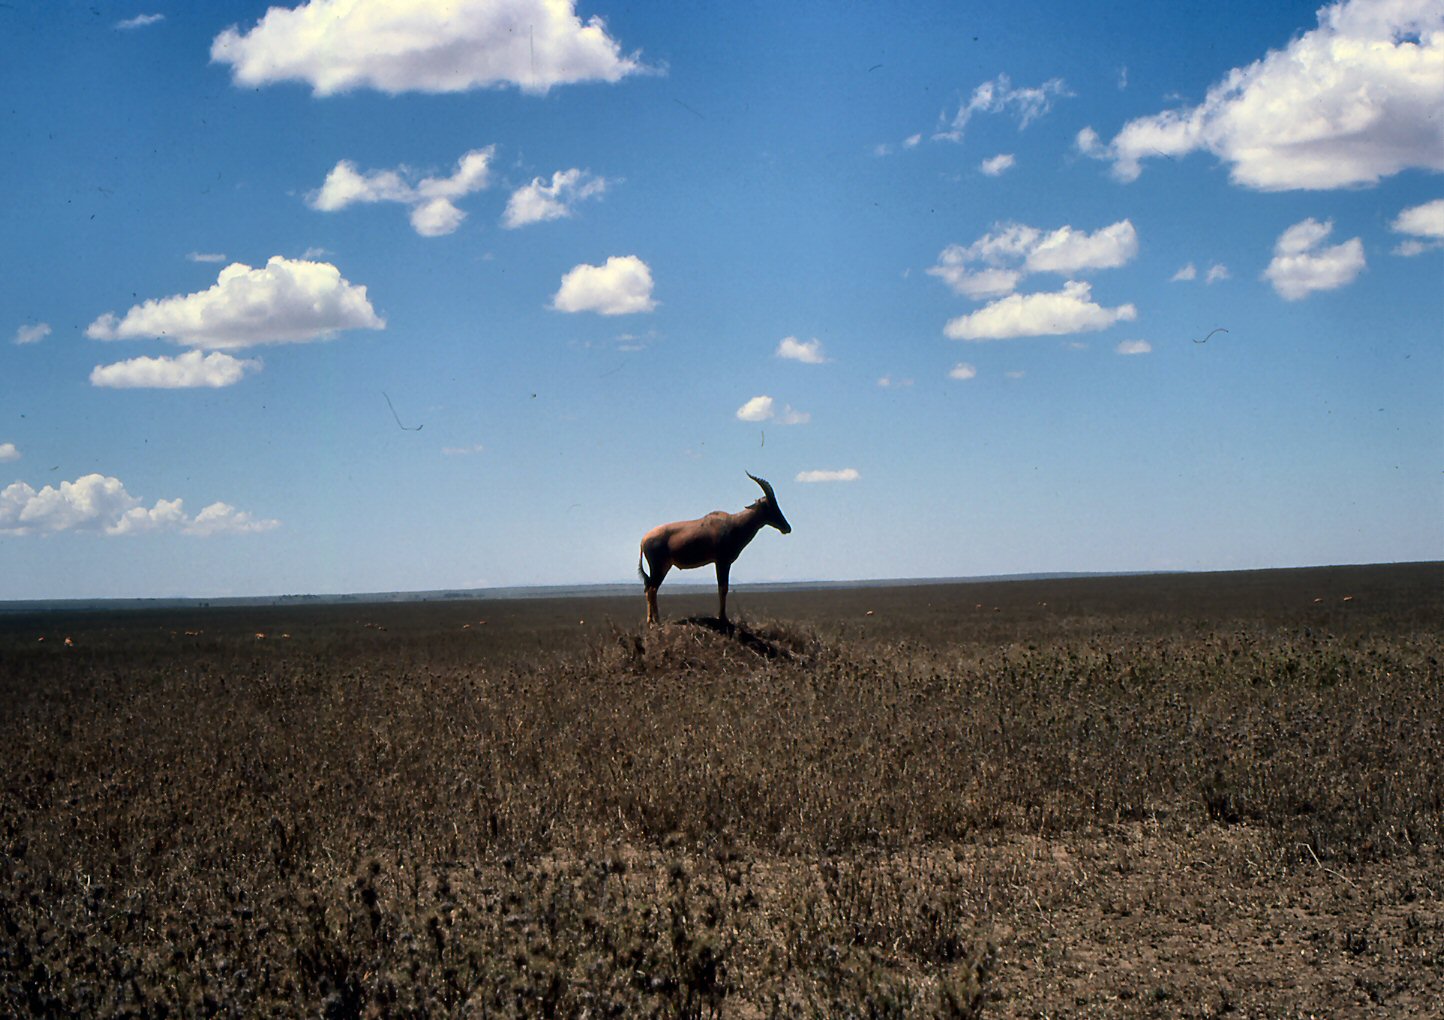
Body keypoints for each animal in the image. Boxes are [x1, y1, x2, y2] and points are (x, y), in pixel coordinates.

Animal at [638, 473, 791, 625]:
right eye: (768, 506)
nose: (787, 528)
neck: (733, 523)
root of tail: (643, 539)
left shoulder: (722, 562)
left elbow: (722, 588)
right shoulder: (722, 562)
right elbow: (723, 588)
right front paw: (722, 618)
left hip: (664, 567)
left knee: (650, 588)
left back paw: (654, 620)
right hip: (658, 567)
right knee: (651, 589)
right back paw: (654, 621)